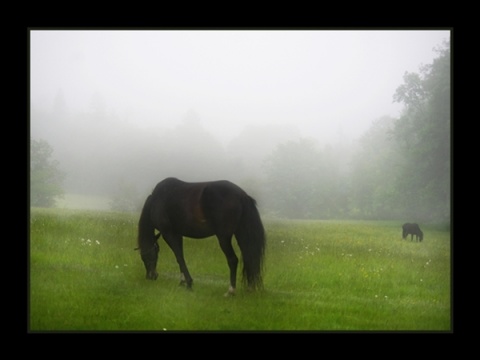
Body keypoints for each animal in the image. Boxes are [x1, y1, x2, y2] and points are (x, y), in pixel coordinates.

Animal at [136, 177, 266, 296]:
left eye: (145, 256)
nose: (151, 276)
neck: (157, 200)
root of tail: (242, 195)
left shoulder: (168, 234)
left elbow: (179, 257)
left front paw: (189, 283)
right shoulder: (177, 234)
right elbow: (179, 256)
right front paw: (183, 281)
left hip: (224, 238)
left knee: (233, 260)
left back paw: (231, 290)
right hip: (241, 235)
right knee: (249, 257)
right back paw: (250, 288)